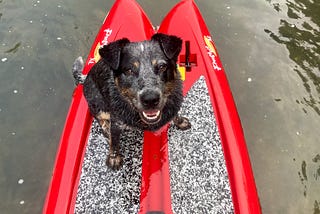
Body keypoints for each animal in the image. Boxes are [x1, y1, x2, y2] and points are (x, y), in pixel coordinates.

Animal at [82, 33, 190, 169]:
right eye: (129, 70)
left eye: (162, 66)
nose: (150, 99)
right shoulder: (116, 122)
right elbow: (114, 141)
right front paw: (114, 158)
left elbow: (175, 114)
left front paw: (181, 122)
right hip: (98, 104)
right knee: (98, 117)